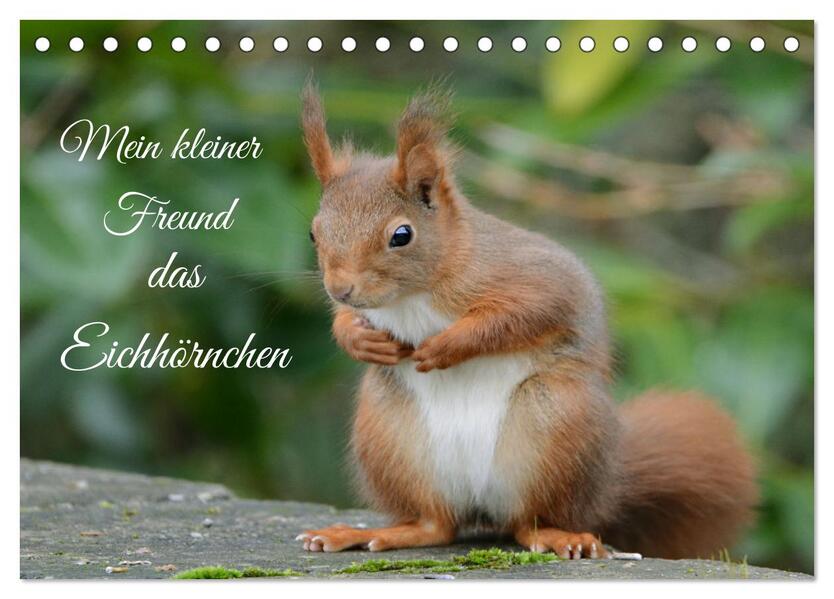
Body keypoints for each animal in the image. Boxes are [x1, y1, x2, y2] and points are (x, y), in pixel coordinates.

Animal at [295, 82, 758, 559]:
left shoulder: (533, 278)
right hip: (390, 436)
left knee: (527, 523)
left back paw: (561, 536)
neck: (415, 293)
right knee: (436, 525)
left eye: (401, 235)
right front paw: (358, 339)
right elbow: (349, 321)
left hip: (553, 424)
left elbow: (523, 313)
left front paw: (446, 346)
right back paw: (371, 533)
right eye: (314, 232)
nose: (340, 288)